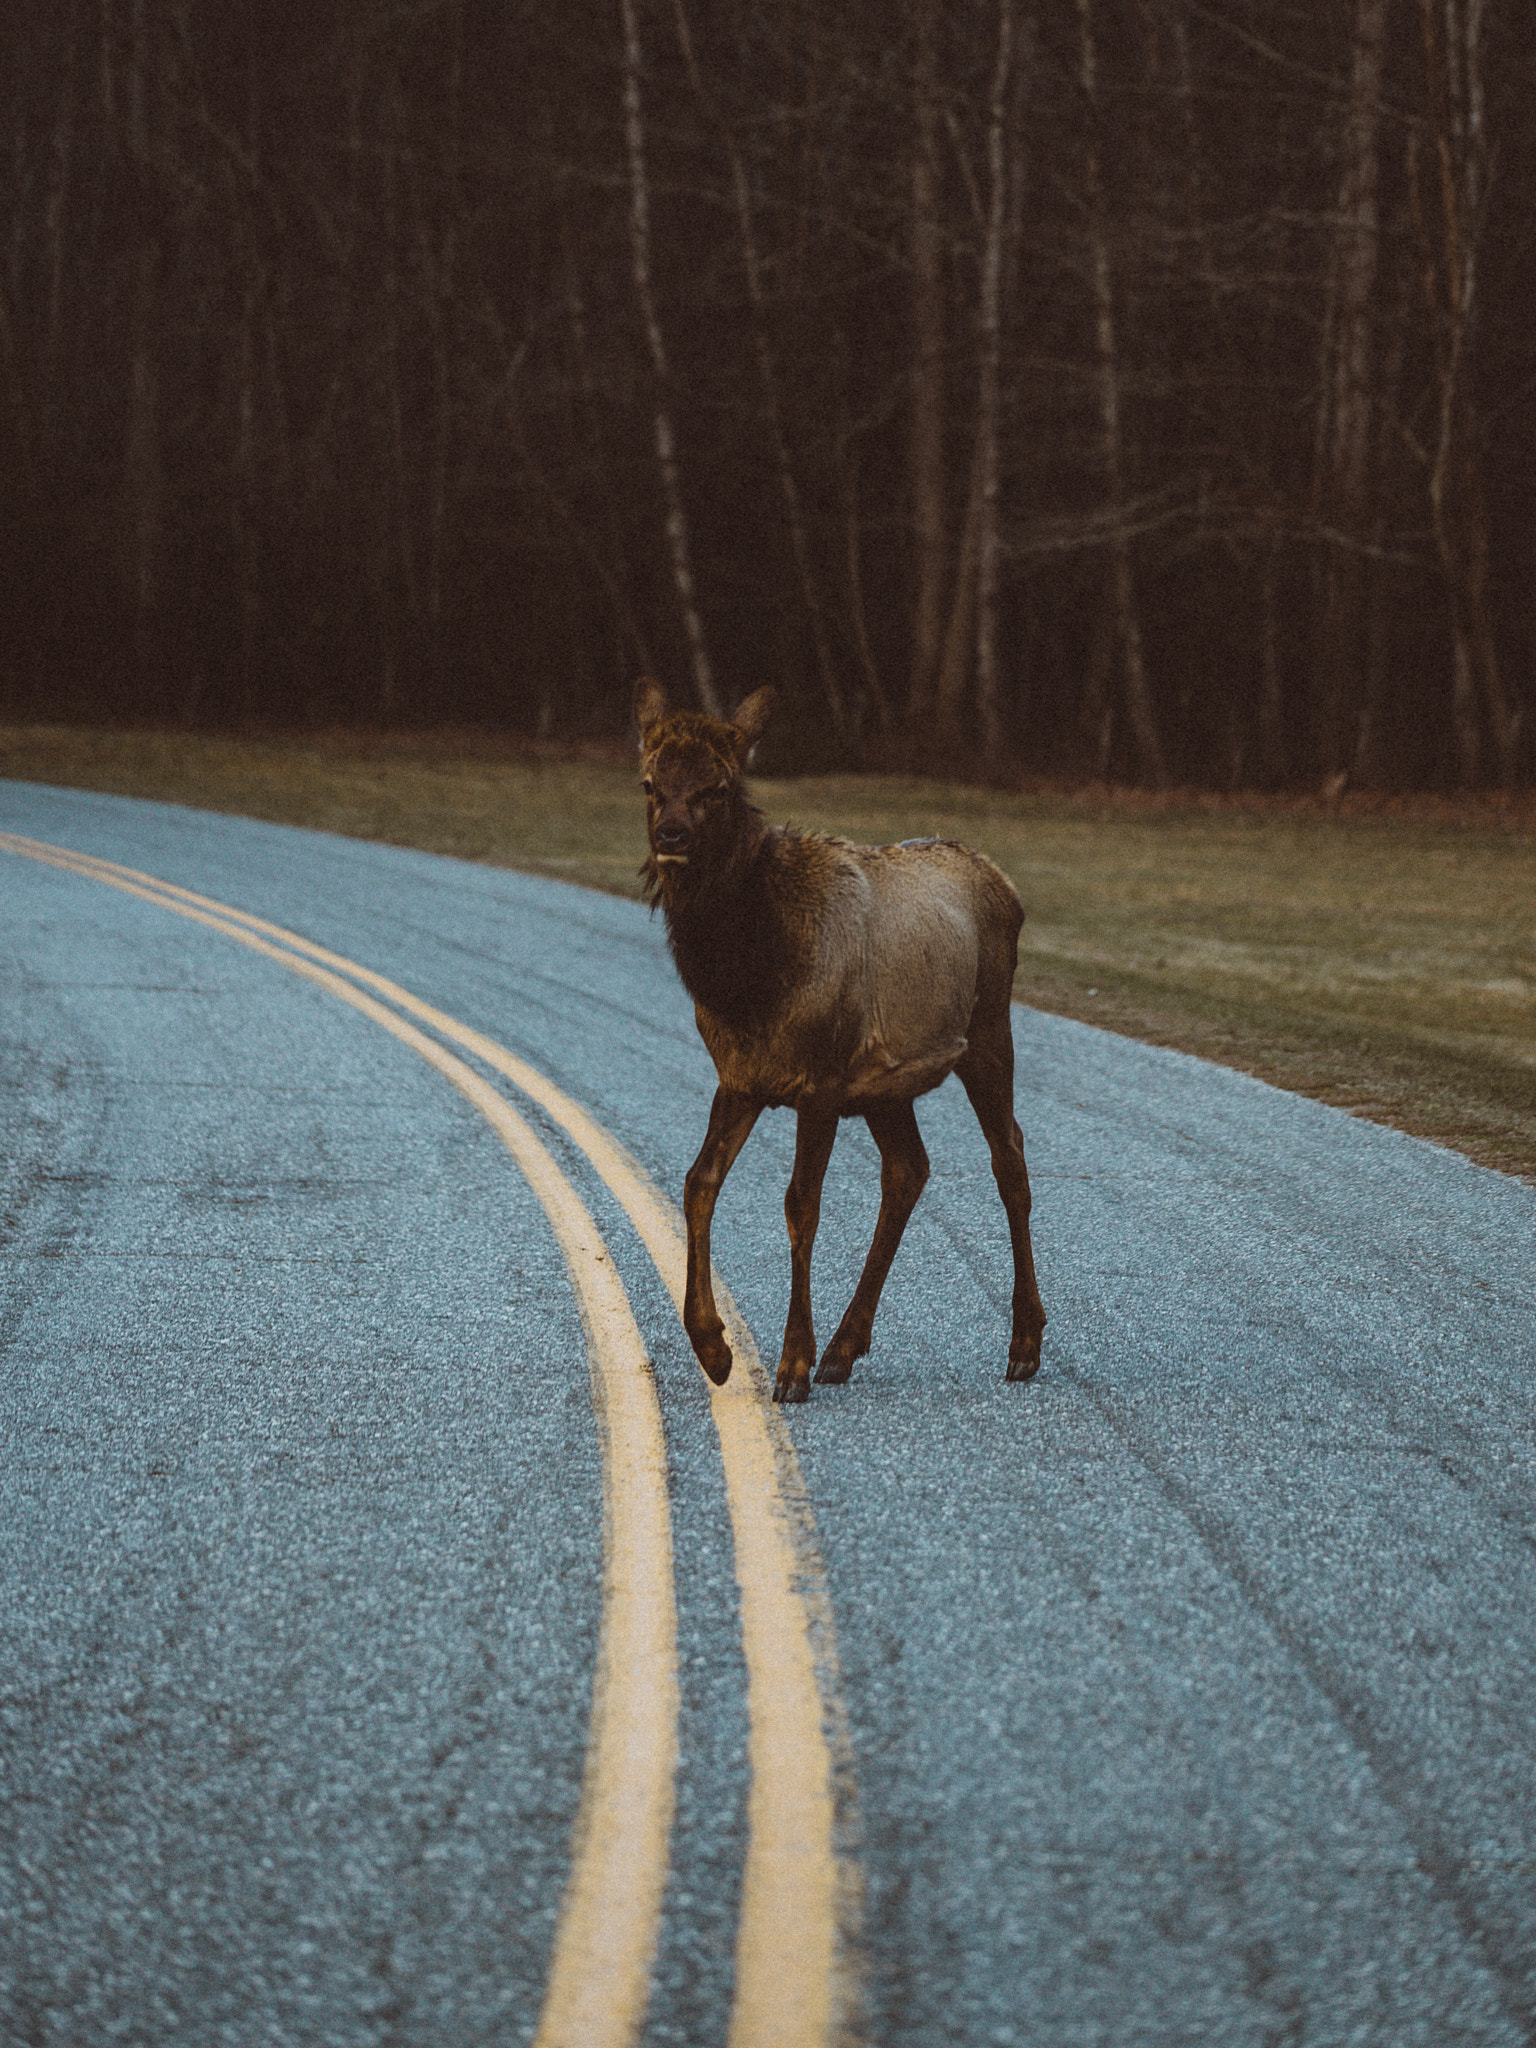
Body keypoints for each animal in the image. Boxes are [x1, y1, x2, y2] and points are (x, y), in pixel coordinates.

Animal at [634, 679, 1048, 1400]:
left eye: (719, 787)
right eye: (650, 783)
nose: (671, 835)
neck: (752, 981)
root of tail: (1003, 880)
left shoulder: (821, 1078)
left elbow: (801, 1205)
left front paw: (790, 1363)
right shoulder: (740, 1076)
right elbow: (697, 1181)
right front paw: (714, 1346)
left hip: (989, 1030)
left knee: (1011, 1159)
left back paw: (1024, 1342)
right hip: (888, 1087)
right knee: (910, 1168)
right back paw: (845, 1346)